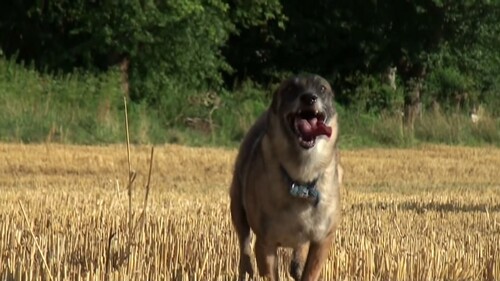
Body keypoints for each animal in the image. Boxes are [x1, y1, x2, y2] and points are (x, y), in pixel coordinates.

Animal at [229, 73, 342, 278]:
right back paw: (246, 268)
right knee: (244, 242)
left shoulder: (322, 240)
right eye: (290, 89)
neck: (301, 177)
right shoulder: (265, 245)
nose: (309, 98)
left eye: (322, 88)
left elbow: (310, 273)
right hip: (237, 207)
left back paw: (297, 264)